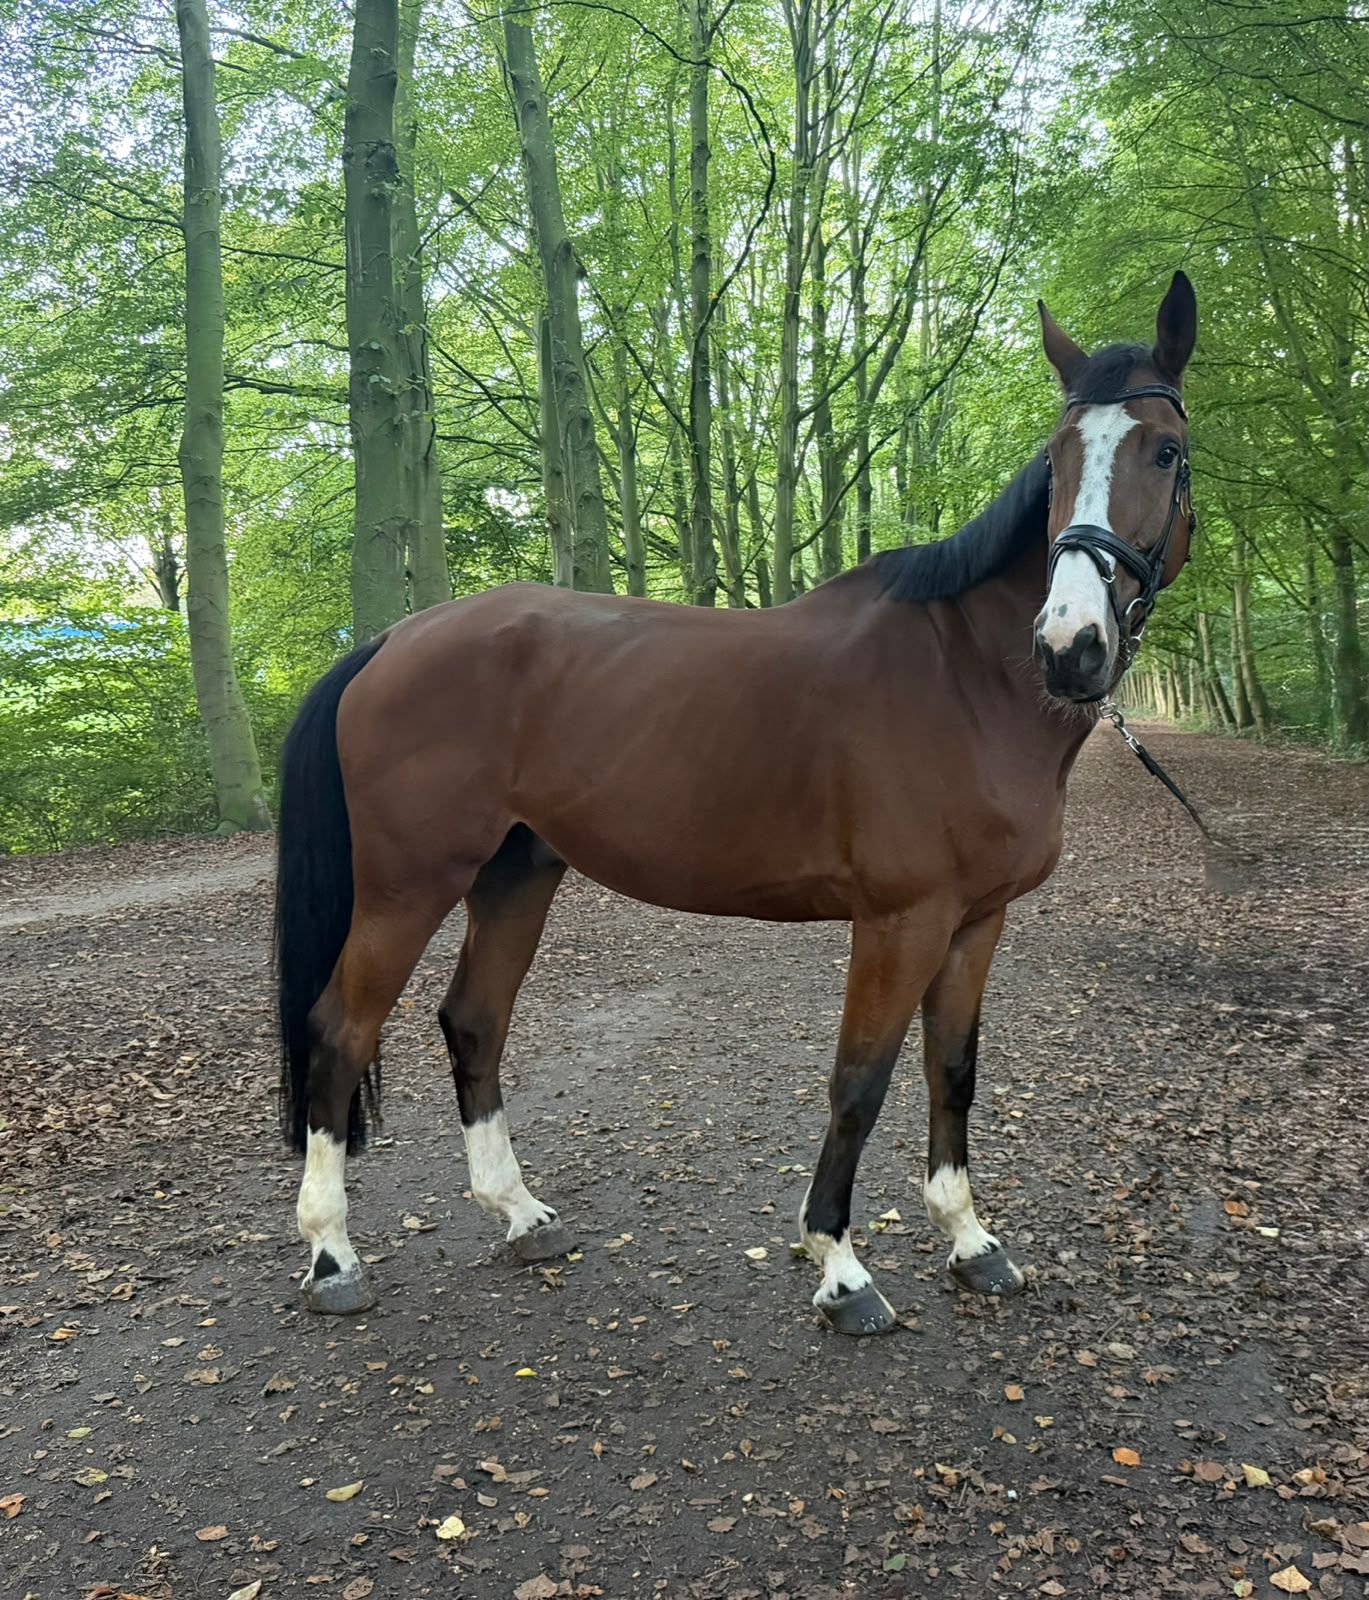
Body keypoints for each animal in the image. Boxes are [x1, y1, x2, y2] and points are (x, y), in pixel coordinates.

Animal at [274, 272, 1197, 1335]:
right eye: (1056, 462)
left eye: (1162, 451)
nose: (1069, 644)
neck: (964, 677)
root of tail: (388, 642)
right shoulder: (901, 921)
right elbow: (859, 1081)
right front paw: (840, 1267)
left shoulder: (977, 921)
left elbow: (951, 1071)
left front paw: (970, 1242)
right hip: (407, 886)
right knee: (339, 1032)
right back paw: (334, 1257)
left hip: (515, 874)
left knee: (473, 1022)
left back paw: (520, 1215)